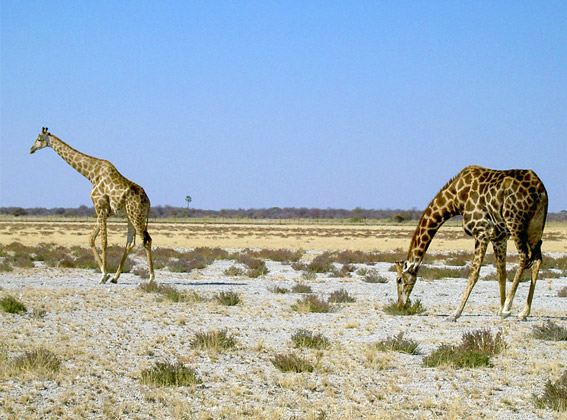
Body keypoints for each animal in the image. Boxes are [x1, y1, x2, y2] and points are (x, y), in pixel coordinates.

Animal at [30, 126, 154, 284]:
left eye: (39, 139)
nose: (31, 149)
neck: (91, 175)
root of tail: (148, 202)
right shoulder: (104, 212)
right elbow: (91, 239)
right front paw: (105, 273)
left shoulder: (99, 207)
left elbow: (104, 241)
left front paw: (103, 275)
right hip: (130, 217)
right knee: (130, 243)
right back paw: (115, 277)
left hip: (136, 215)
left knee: (147, 240)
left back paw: (151, 278)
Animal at [398, 165, 548, 322]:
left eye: (399, 280)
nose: (400, 304)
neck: (456, 199)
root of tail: (540, 188)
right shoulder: (499, 238)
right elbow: (501, 273)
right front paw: (500, 310)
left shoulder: (482, 231)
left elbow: (474, 274)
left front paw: (455, 313)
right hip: (535, 226)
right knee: (537, 259)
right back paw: (524, 312)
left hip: (515, 222)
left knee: (524, 256)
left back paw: (509, 307)